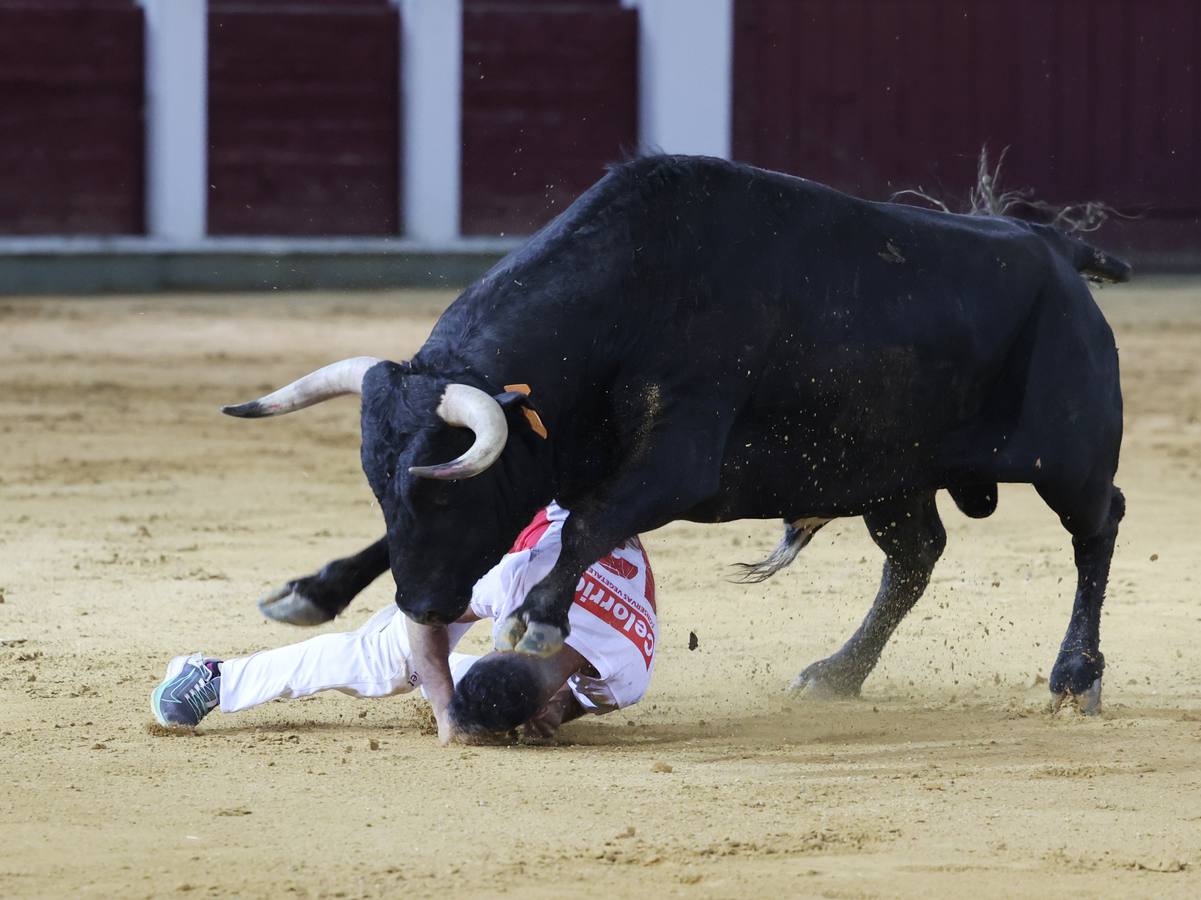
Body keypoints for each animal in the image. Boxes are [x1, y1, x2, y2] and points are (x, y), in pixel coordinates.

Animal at [229, 156, 1128, 716]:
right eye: (381, 486)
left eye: (452, 494)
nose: (421, 608)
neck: (623, 305)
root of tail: (1051, 245)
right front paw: (306, 591)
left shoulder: (675, 461)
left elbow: (593, 523)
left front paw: (537, 618)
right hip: (885, 473)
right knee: (913, 559)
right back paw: (835, 675)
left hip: (1068, 457)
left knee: (1097, 527)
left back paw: (1072, 677)